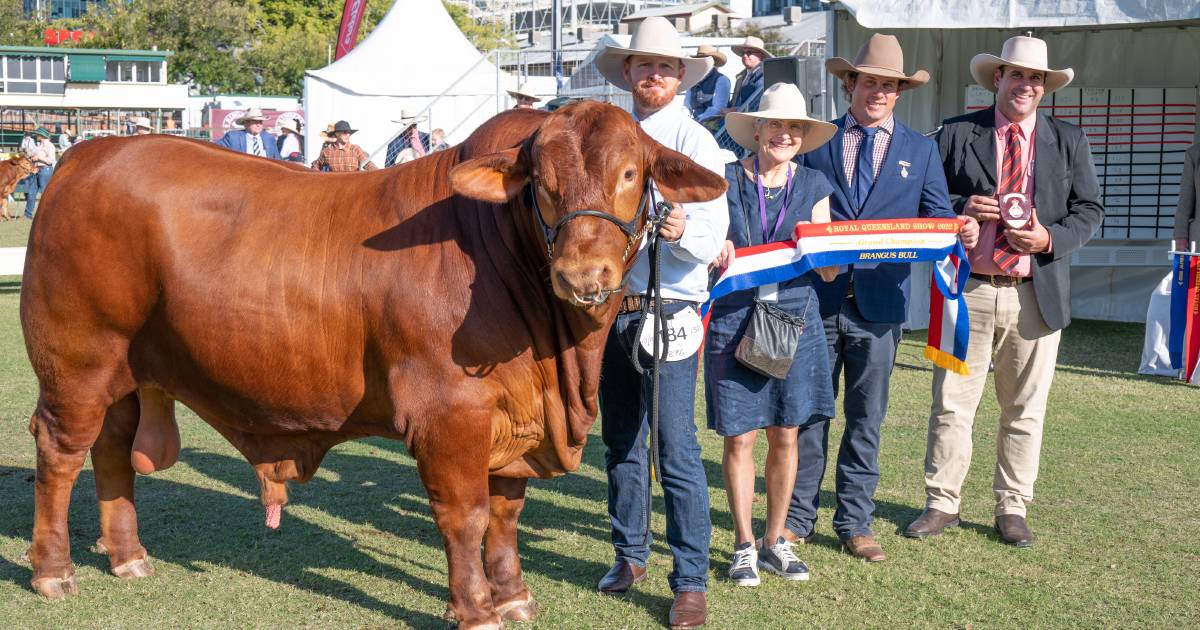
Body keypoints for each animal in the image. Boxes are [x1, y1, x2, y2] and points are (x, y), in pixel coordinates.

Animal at [18, 100, 724, 624]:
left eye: (631, 173)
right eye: (541, 185)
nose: (584, 275)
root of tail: (89, 152)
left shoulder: (515, 417)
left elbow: (505, 512)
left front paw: (514, 595)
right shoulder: (449, 414)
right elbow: (465, 515)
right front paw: (476, 609)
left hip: (126, 376)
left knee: (112, 450)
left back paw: (128, 556)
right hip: (77, 365)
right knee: (60, 453)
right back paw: (53, 572)